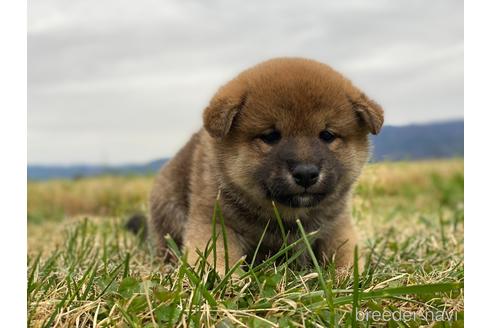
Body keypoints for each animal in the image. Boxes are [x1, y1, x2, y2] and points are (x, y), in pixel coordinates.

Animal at [148, 57, 382, 272]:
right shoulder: (212, 221)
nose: (306, 174)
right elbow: (218, 259)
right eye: (270, 136)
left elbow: (346, 256)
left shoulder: (337, 226)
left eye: (327, 135)